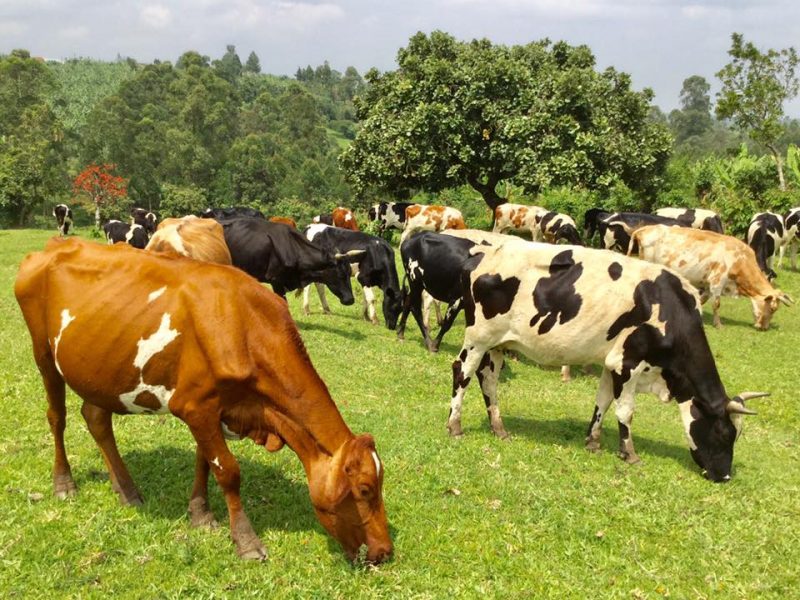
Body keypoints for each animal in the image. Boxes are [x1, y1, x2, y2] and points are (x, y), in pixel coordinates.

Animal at [14, 237, 392, 563]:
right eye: (364, 489)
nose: (385, 552)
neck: (243, 324)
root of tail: (55, 244)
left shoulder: (214, 409)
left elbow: (204, 462)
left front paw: (201, 513)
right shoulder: (196, 406)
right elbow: (228, 470)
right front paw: (246, 541)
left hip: (103, 370)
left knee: (95, 418)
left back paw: (126, 490)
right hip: (43, 353)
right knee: (57, 416)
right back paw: (64, 483)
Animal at [447, 241, 766, 482]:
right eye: (724, 433)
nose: (724, 476)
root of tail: (482, 252)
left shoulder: (611, 363)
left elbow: (603, 401)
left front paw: (593, 441)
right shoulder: (628, 363)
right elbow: (626, 412)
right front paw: (629, 454)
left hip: (497, 344)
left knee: (488, 380)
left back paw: (498, 428)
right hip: (479, 337)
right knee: (462, 372)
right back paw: (455, 425)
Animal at [630, 225, 792, 330]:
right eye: (773, 309)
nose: (764, 327)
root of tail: (645, 229)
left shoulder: (708, 284)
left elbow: (702, 300)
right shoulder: (717, 281)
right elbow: (716, 304)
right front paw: (718, 324)